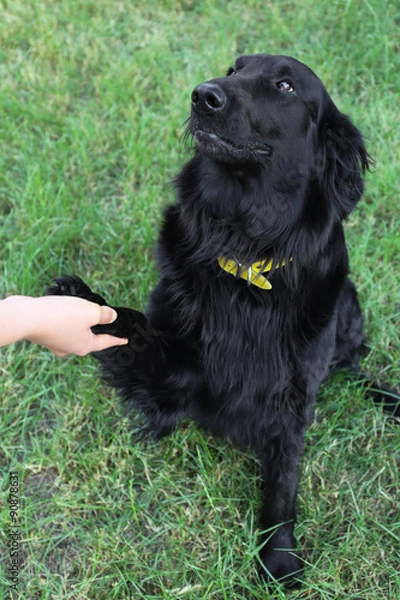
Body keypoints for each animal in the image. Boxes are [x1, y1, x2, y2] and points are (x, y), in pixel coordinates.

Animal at [50, 54, 400, 588]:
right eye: (234, 69)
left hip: (348, 303)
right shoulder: (175, 378)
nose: (203, 95)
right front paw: (81, 301)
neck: (245, 251)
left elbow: (285, 481)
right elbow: (133, 329)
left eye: (284, 85)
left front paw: (279, 555)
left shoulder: (293, 399)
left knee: (350, 364)